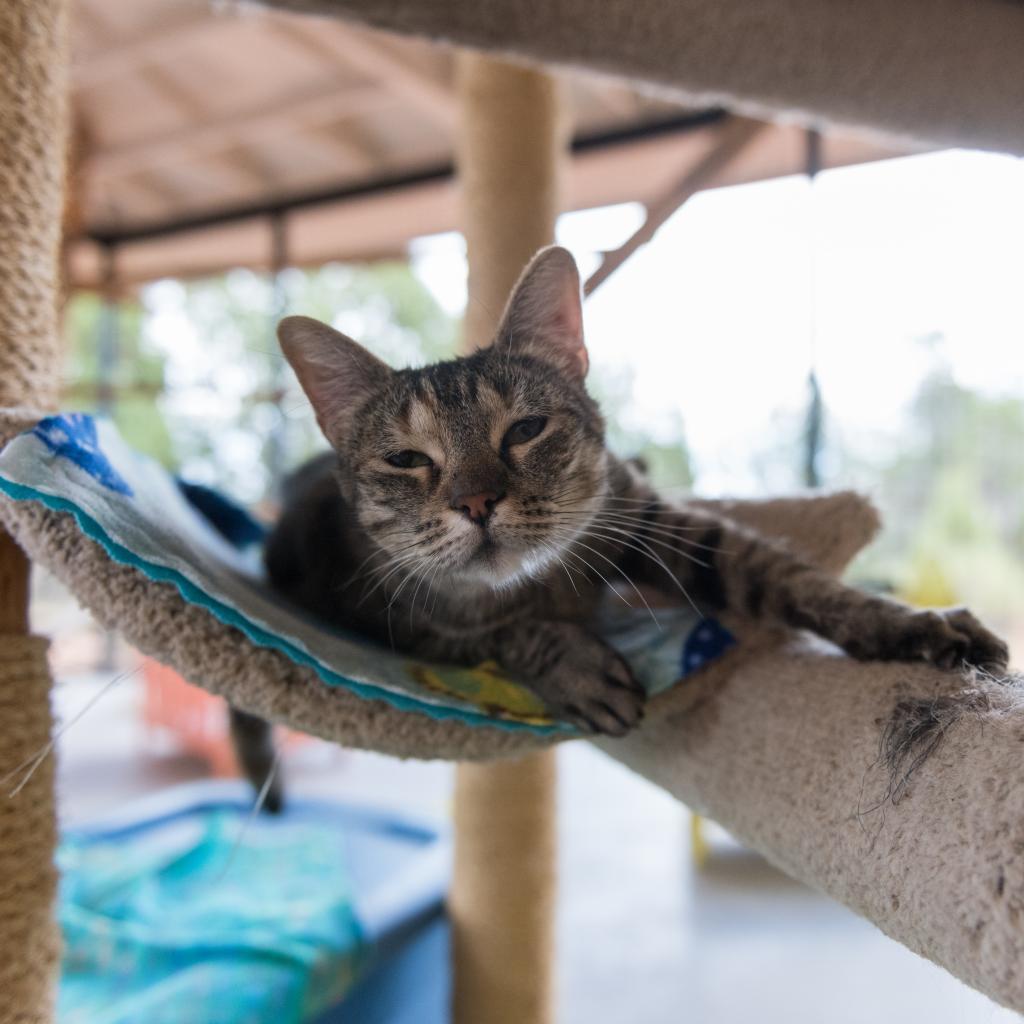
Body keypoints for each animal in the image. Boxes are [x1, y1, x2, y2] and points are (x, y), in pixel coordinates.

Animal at [232, 243, 1007, 802]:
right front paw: (578, 666)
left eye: (526, 429)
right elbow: (506, 631)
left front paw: (908, 625)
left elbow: (797, 578)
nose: (477, 502)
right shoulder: (392, 621)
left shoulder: (656, 523)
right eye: (406, 459)